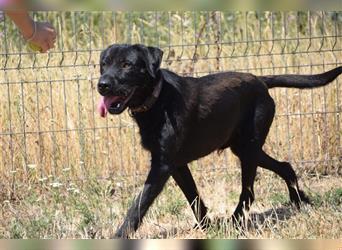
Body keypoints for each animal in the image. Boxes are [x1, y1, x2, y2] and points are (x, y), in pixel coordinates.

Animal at [97, 43, 342, 238]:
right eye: (103, 64)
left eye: (126, 64)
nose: (102, 85)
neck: (157, 99)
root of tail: (260, 81)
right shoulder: (176, 165)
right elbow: (194, 197)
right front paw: (206, 226)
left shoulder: (162, 166)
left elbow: (138, 205)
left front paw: (119, 235)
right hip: (244, 148)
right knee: (285, 166)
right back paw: (299, 200)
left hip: (249, 150)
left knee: (248, 192)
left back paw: (236, 221)